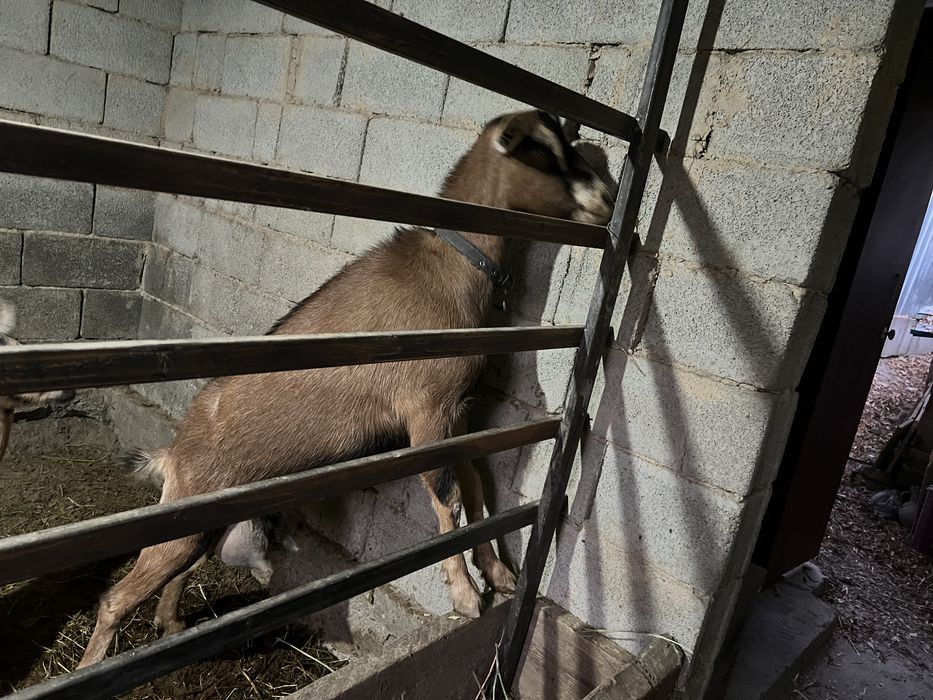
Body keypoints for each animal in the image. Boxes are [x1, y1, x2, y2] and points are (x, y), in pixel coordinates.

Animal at [78, 110, 613, 667]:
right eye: (543, 151)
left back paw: (173, 625)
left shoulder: (459, 412)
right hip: (187, 510)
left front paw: (501, 576)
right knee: (116, 597)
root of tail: (173, 454)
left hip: (203, 522)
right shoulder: (426, 411)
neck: (451, 265)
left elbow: (474, 486)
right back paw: (92, 665)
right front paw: (466, 598)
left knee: (177, 573)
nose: (607, 196)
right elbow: (447, 496)